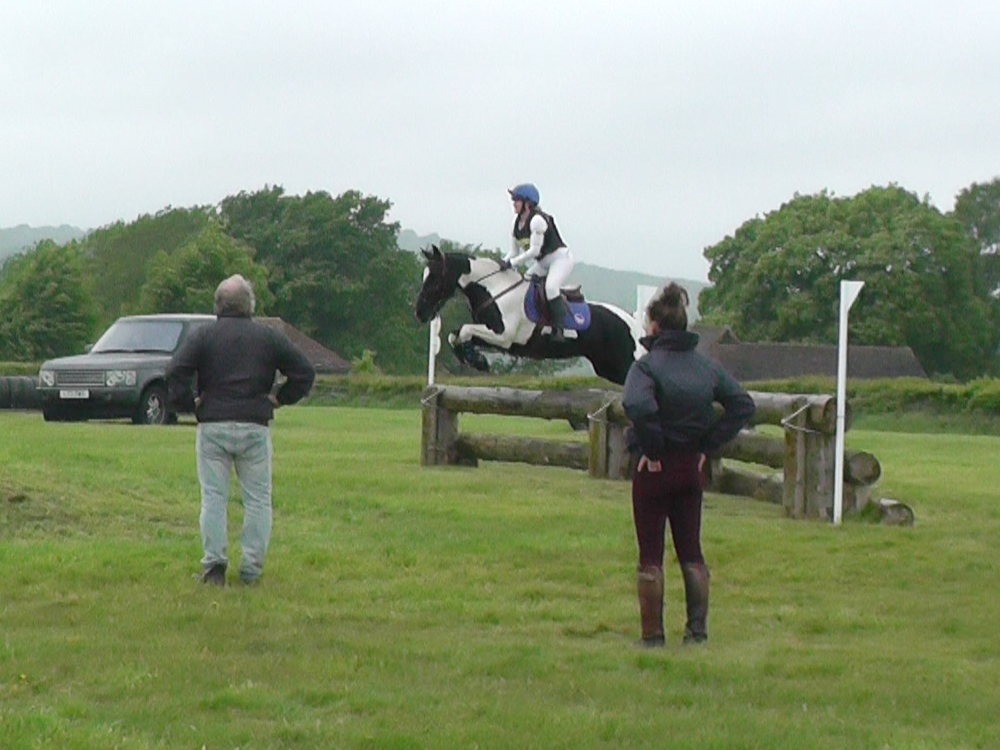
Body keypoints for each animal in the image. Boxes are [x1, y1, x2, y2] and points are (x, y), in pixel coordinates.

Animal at [414, 246, 645, 385]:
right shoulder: (494, 337)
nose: (419, 312)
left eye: (434, 278)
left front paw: (476, 360)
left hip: (623, 363)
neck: (495, 288)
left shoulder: (503, 336)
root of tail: (633, 321)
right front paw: (475, 359)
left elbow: (464, 329)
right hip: (608, 367)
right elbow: (455, 335)